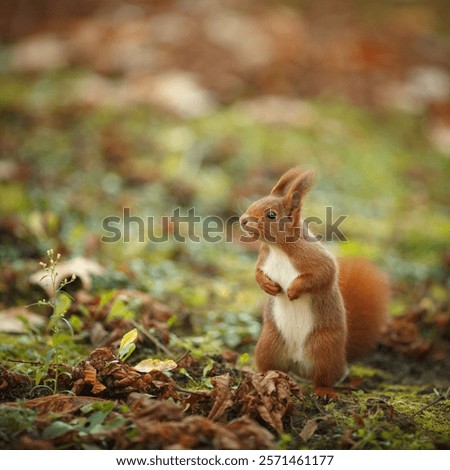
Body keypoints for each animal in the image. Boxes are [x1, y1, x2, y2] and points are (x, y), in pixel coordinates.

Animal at [239, 168, 390, 396]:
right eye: (255, 201)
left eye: (271, 215)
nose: (243, 220)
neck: (278, 248)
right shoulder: (263, 260)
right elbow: (257, 274)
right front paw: (268, 286)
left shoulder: (316, 259)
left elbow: (321, 275)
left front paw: (293, 291)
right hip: (268, 344)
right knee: (271, 366)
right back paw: (263, 377)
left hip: (323, 349)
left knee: (324, 377)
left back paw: (324, 392)